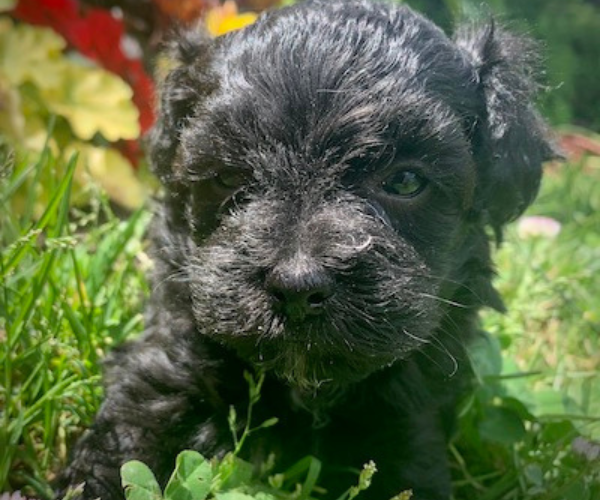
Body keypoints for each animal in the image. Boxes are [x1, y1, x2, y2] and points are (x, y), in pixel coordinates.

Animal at [58, 0, 556, 500]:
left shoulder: (410, 411)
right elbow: (129, 437)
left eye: (405, 181)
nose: (296, 287)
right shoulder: (168, 358)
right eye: (228, 177)